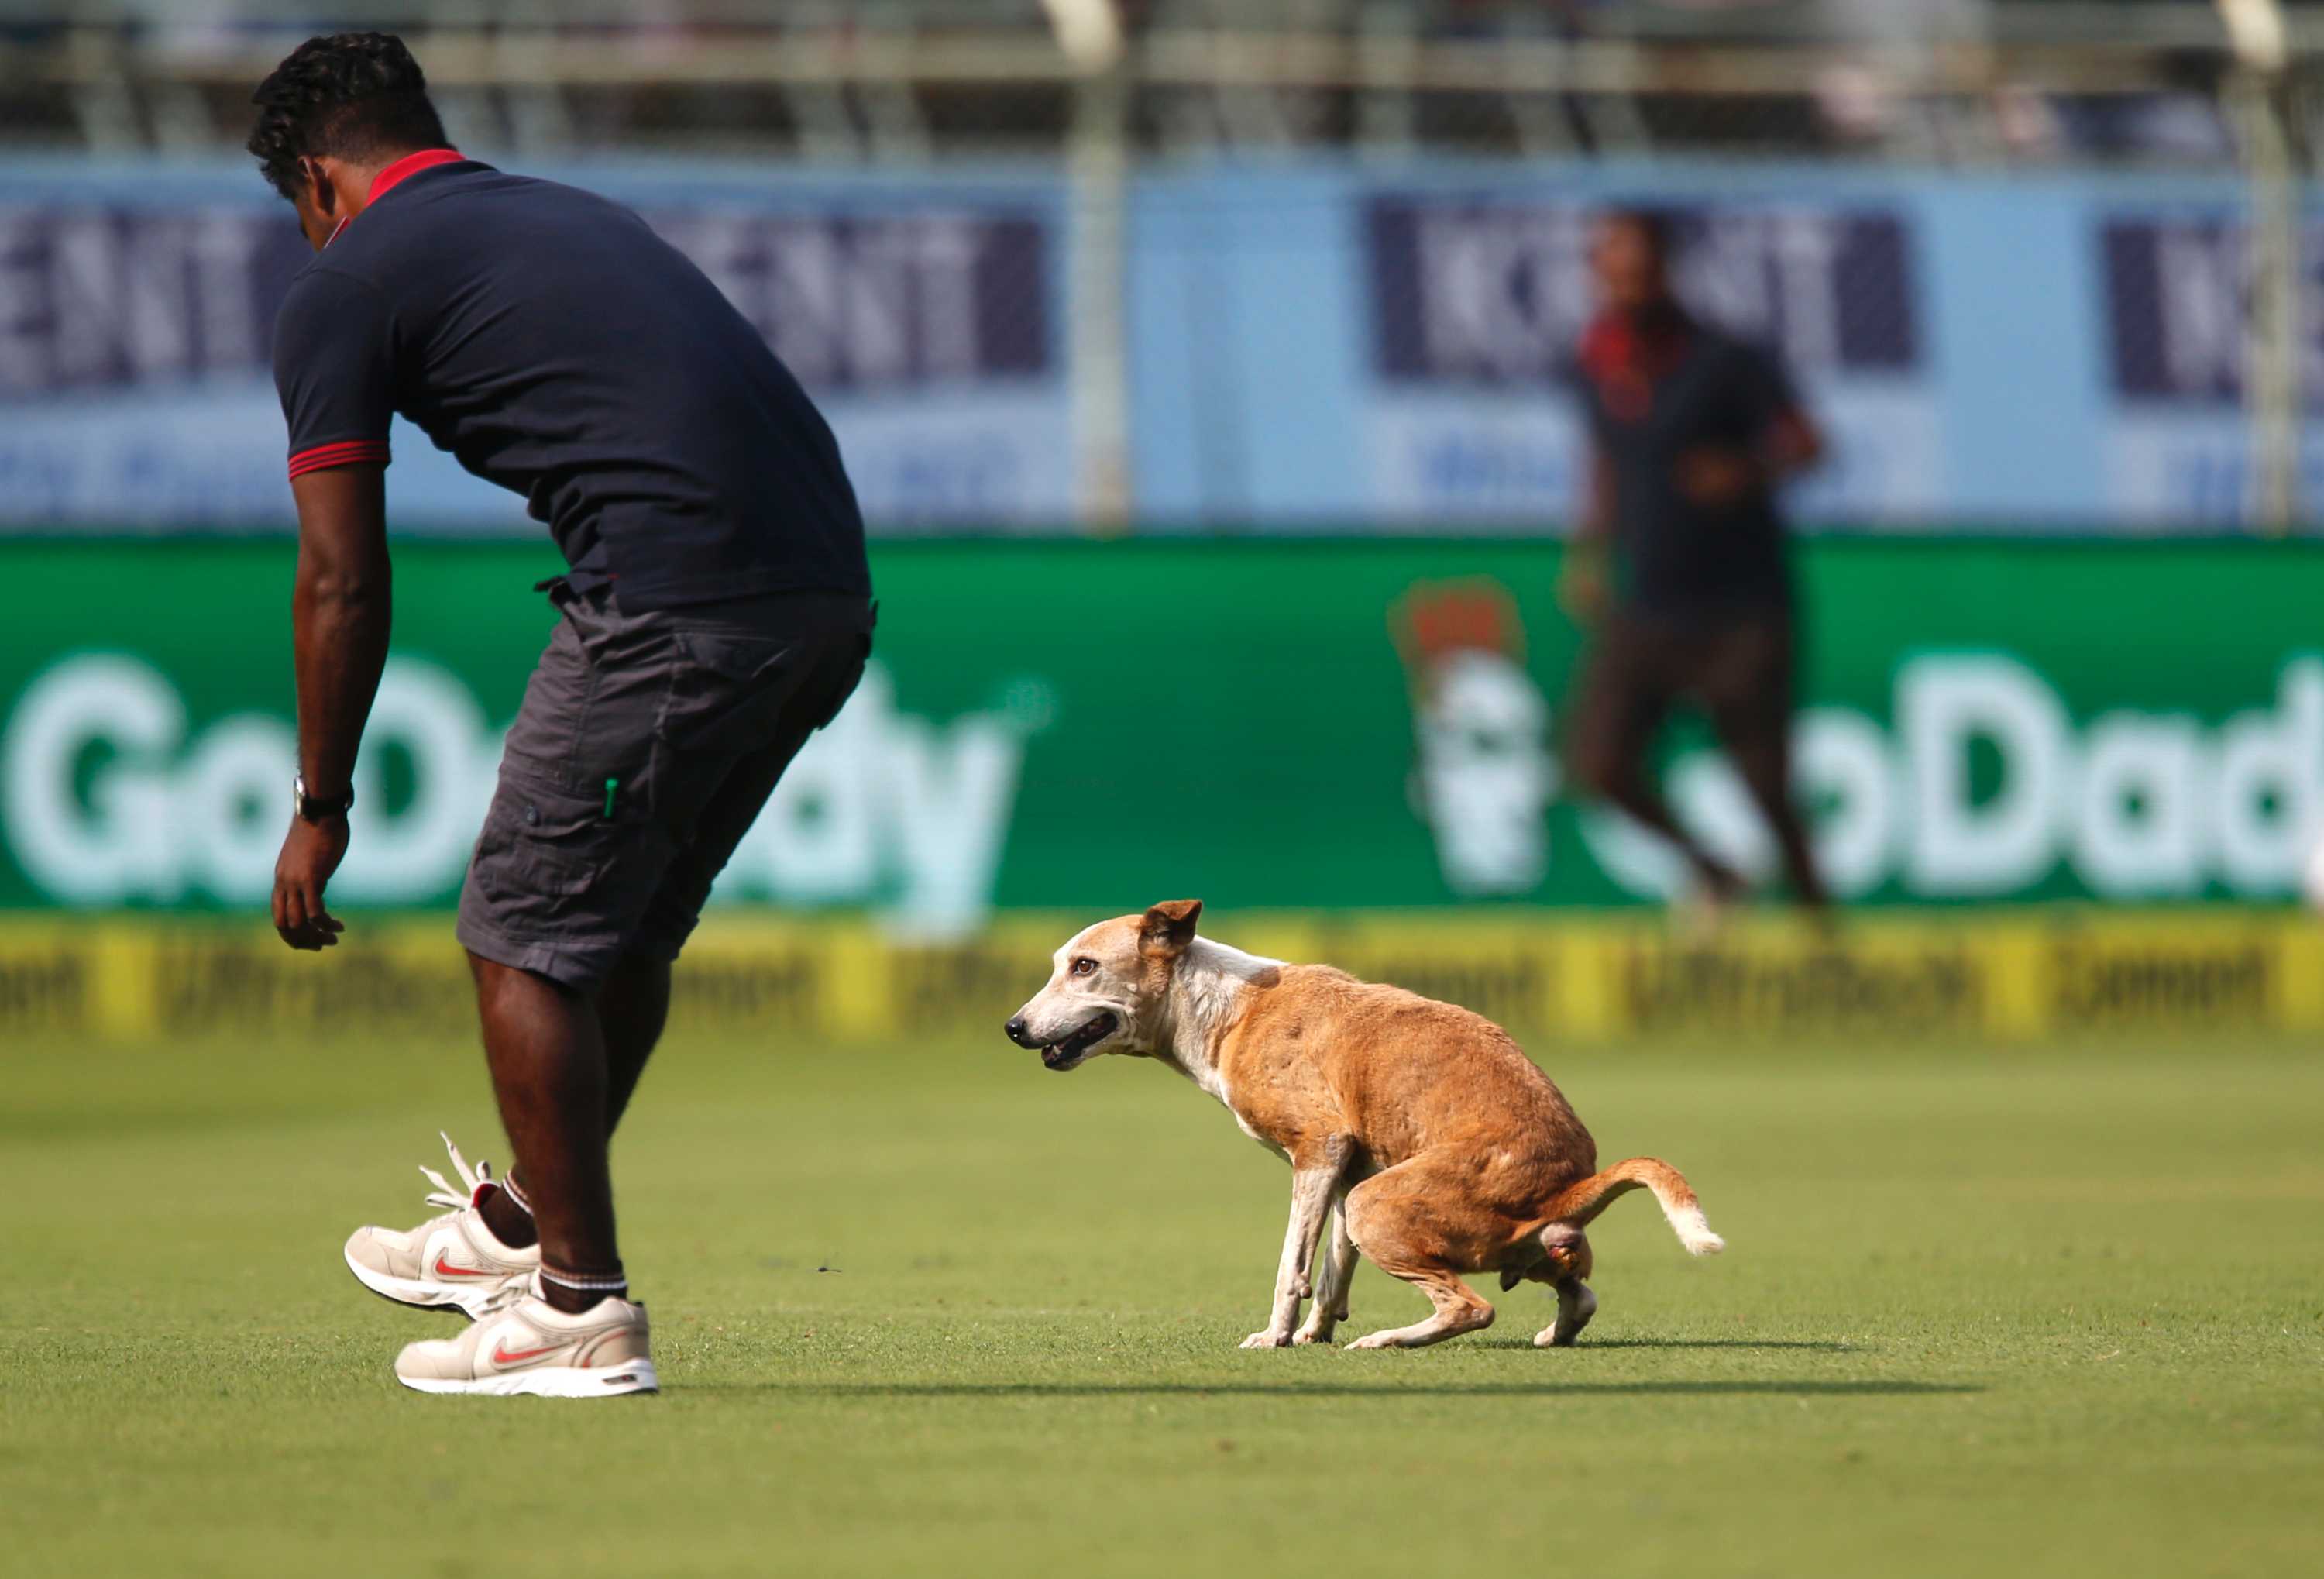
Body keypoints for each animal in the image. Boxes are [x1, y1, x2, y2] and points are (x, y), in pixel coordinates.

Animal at [1004, 902, 1729, 1348]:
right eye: (1060, 964)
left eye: (1085, 967)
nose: (1013, 1027)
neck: (1226, 1009)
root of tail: (1568, 1187)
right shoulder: (1347, 1169)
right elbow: (1331, 1271)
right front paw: (1311, 1335)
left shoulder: (1319, 1152)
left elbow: (1291, 1265)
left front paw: (1275, 1337)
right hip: (1463, 1228)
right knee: (1578, 1297)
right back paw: (1550, 1331)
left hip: (1381, 1206)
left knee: (1473, 1308)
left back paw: (1388, 1340)